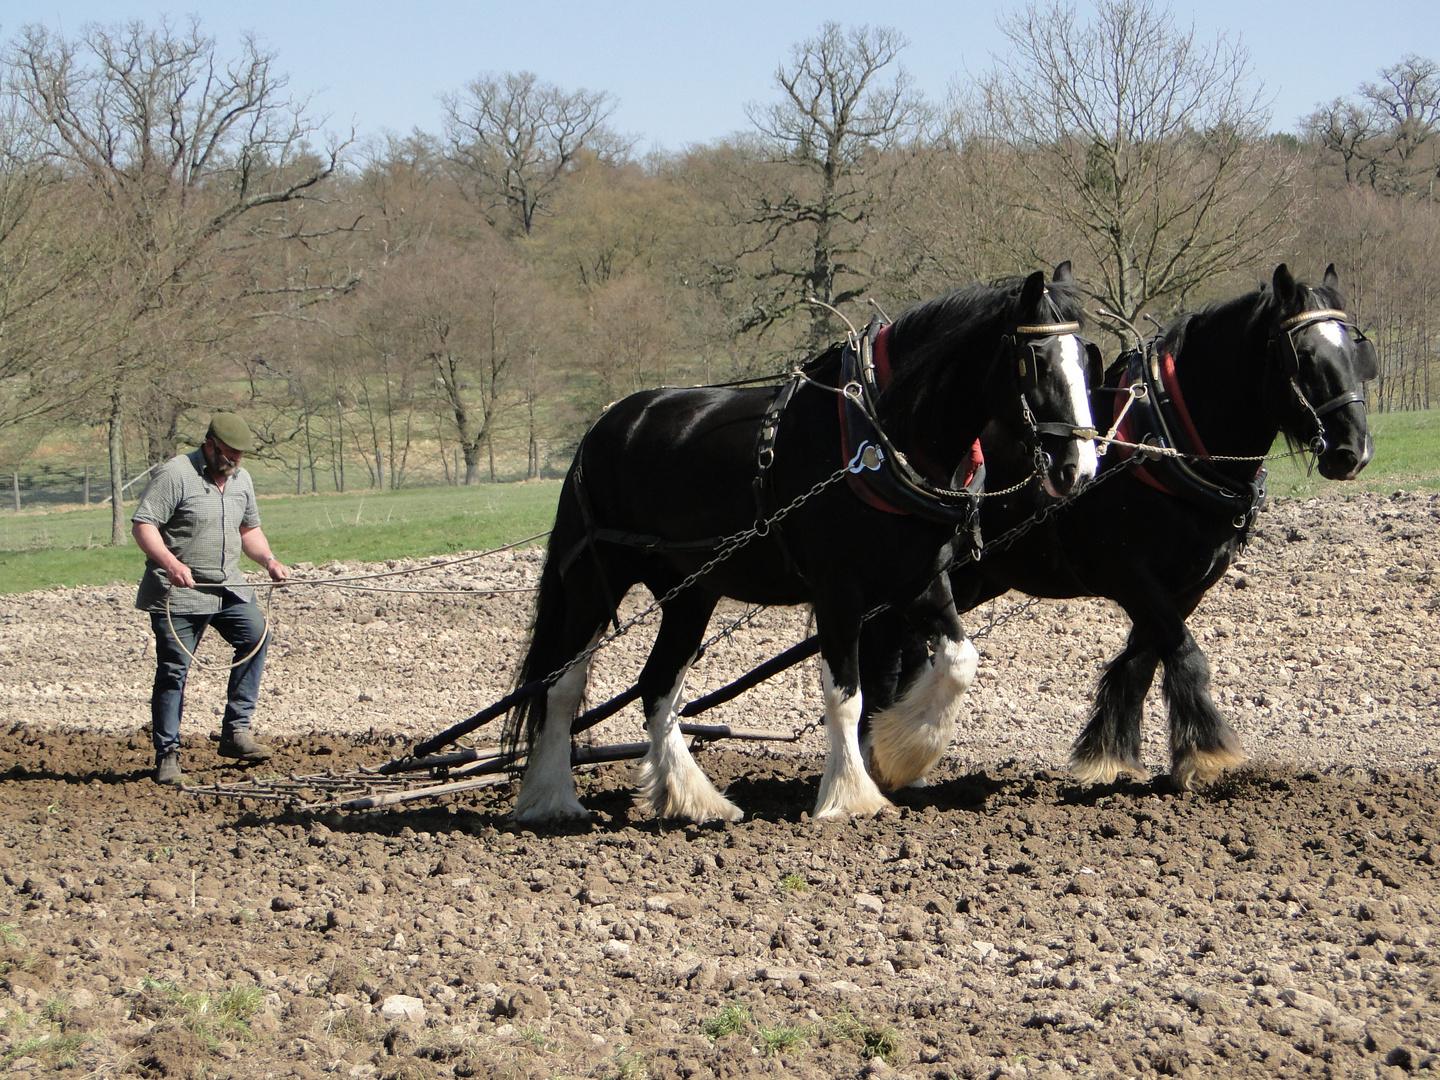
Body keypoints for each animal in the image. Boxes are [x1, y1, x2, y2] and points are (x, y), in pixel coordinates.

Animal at [512, 266, 1094, 823]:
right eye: (1037, 360)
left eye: (1088, 360)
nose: (1080, 469)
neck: (883, 436)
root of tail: (603, 427)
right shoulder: (839, 591)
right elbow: (845, 696)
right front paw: (850, 795)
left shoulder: (920, 581)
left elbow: (958, 660)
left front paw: (902, 752)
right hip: (593, 580)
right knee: (561, 685)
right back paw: (552, 799)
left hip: (690, 593)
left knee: (657, 687)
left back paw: (695, 799)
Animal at [858, 264, 1376, 794]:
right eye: (1304, 356)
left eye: (1355, 352)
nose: (1352, 452)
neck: (1165, 440)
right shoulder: (1127, 572)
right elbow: (1184, 653)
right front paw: (1208, 753)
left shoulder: (1188, 585)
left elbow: (1142, 659)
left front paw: (1113, 753)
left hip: (965, 580)